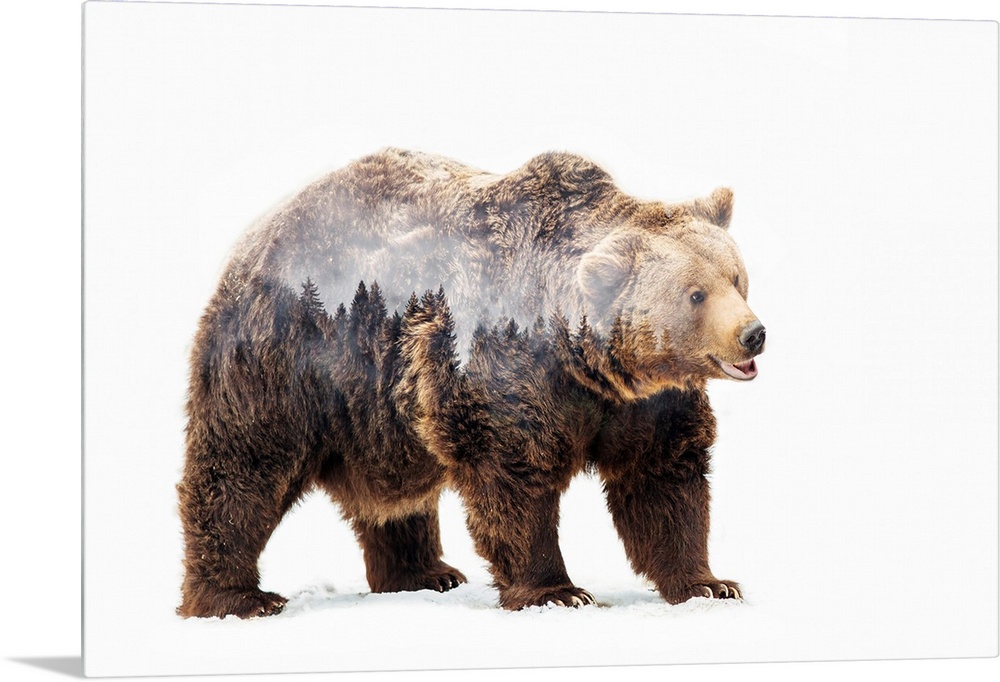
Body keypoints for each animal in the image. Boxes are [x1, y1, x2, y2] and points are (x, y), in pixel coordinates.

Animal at [176, 148, 766, 618]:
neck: (588, 363)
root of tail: (255, 234)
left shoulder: (645, 404)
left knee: (395, 494)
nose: (753, 334)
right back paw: (237, 597)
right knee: (244, 466)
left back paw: (425, 572)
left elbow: (663, 480)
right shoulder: (504, 367)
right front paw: (558, 590)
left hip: (379, 408)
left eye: (736, 277)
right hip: (287, 357)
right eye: (695, 294)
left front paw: (710, 583)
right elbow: (513, 477)